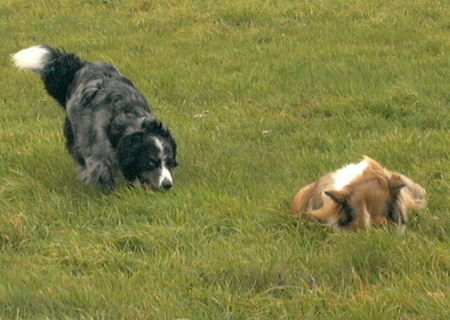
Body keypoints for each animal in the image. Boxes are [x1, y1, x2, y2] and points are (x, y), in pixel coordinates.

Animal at [12, 44, 178, 190]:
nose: (167, 185)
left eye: (169, 162)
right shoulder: (96, 154)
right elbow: (102, 171)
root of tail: (82, 66)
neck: (126, 115)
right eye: (151, 162)